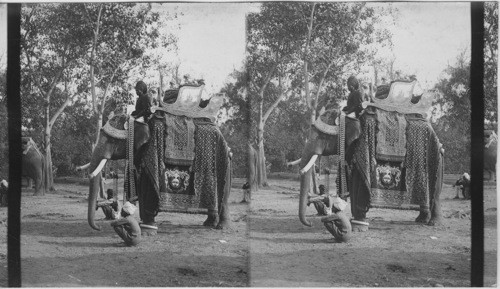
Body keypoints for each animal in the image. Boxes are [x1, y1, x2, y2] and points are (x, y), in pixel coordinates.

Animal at [86, 108, 232, 234]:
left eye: (111, 140)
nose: (99, 227)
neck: (139, 121)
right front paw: (144, 224)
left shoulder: (152, 148)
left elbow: (149, 187)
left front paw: (147, 229)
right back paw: (209, 224)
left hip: (224, 162)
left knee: (224, 197)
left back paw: (221, 227)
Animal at [298, 82, 444, 230]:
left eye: (321, 136)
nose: (310, 223)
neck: (350, 117)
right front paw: (355, 221)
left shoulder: (364, 142)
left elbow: (360, 181)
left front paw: (358, 226)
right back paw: (421, 220)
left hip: (435, 157)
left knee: (436, 193)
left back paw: (433, 223)